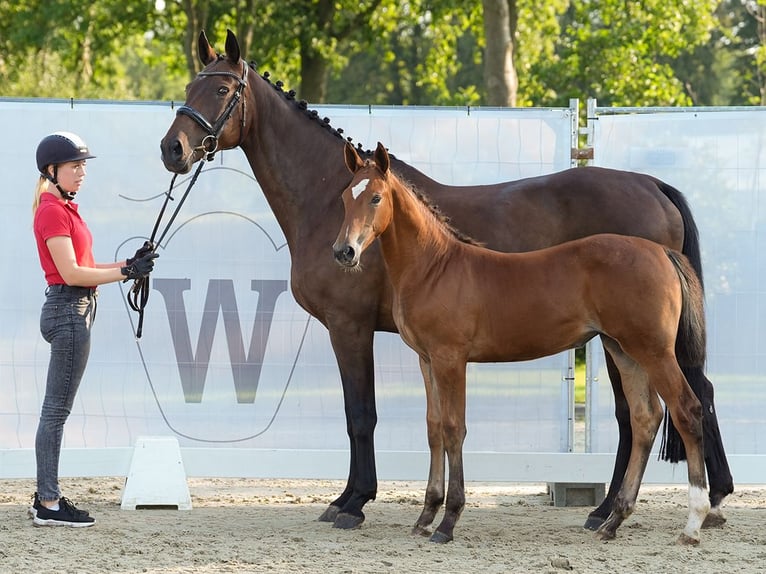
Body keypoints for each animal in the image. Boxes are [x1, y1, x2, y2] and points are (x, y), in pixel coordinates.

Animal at [336, 142, 712, 548]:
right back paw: (613, 520)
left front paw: (448, 521)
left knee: (687, 409)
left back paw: (693, 523)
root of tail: (661, 254)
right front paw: (425, 516)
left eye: (375, 197)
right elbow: (434, 428)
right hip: (623, 350)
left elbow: (454, 428)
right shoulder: (426, 359)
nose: (344, 252)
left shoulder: (451, 357)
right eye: (344, 197)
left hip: (654, 350)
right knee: (646, 418)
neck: (435, 267)